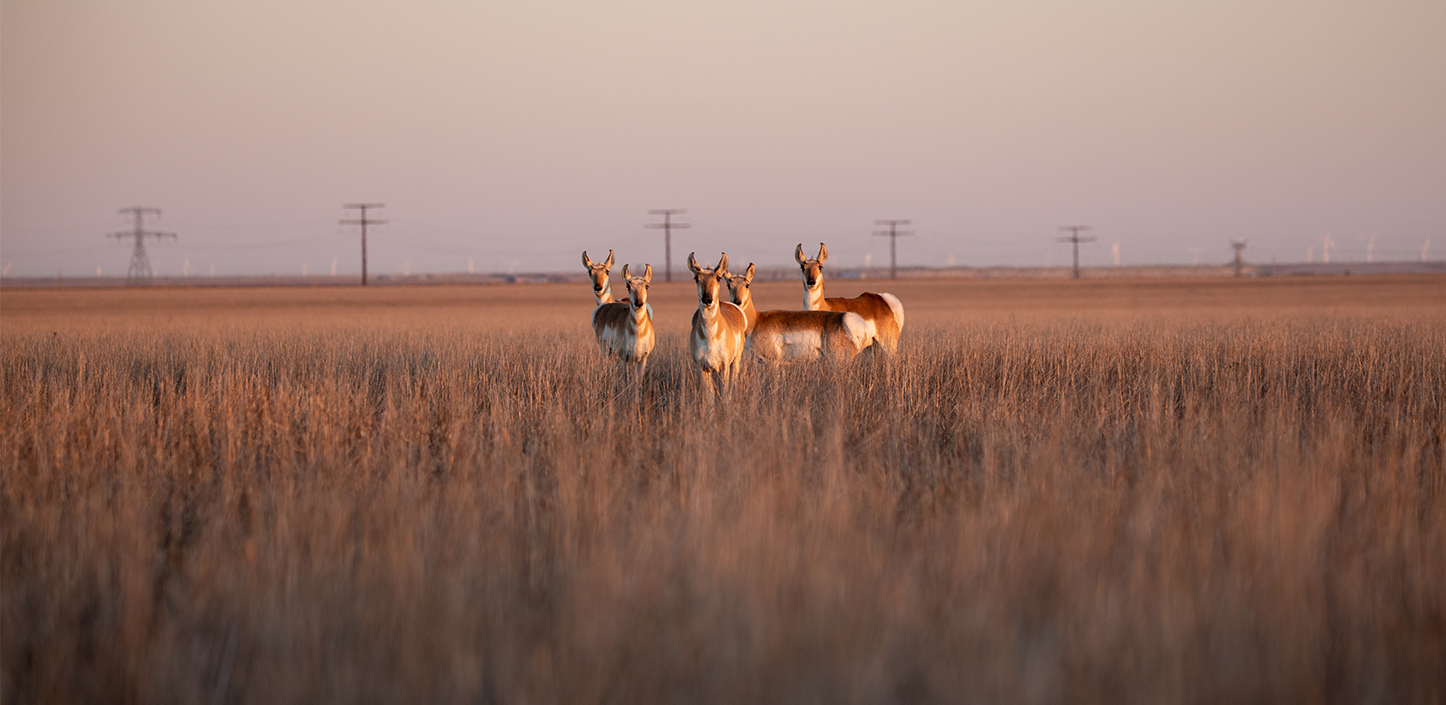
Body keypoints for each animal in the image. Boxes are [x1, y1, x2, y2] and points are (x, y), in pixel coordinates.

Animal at [687, 252, 748, 400]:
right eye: (696, 278)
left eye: (718, 278)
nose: (707, 299)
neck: (710, 337)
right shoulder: (702, 368)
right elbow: (709, 397)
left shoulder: (724, 366)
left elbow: (725, 394)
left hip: (735, 361)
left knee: (731, 386)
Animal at [726, 262, 869, 364]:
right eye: (728, 285)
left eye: (747, 285)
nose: (737, 302)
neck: (757, 320)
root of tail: (846, 318)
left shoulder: (772, 362)